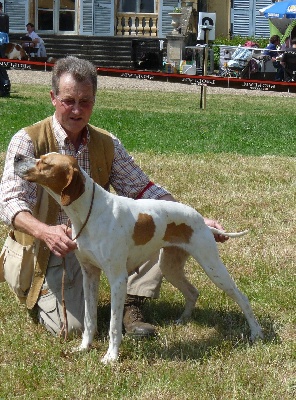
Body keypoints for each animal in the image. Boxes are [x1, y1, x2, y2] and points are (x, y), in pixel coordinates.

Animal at [13, 152, 264, 362]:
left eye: (45, 163)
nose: (16, 157)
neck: (90, 213)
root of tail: (202, 221)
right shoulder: (90, 275)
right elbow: (89, 318)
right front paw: (85, 347)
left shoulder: (117, 279)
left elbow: (114, 325)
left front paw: (111, 357)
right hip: (170, 266)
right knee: (193, 292)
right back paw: (183, 319)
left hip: (212, 266)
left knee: (242, 298)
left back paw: (256, 333)